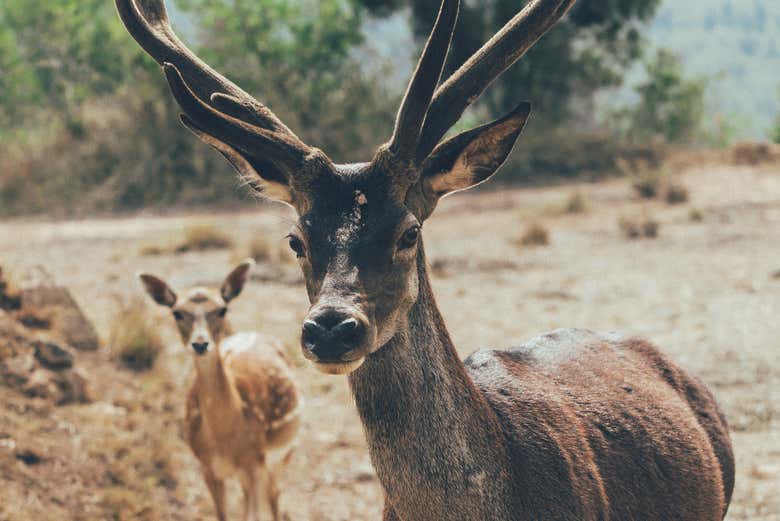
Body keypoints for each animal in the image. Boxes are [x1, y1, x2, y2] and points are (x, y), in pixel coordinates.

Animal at [139, 260, 300, 520]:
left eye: (222, 310)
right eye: (176, 312)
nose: (200, 343)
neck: (226, 440)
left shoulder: (254, 463)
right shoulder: (207, 466)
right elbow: (223, 514)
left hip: (283, 453)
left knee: (274, 495)